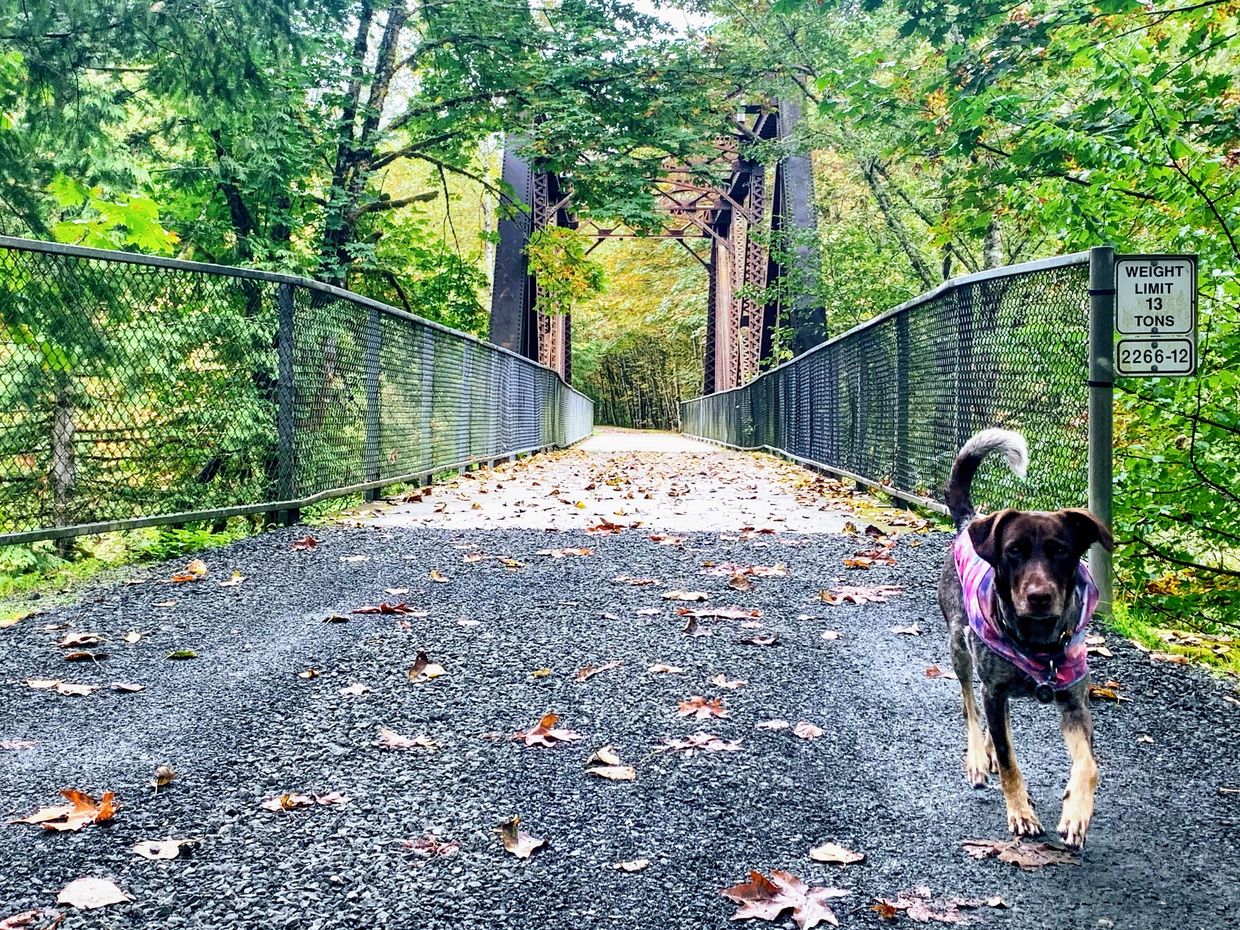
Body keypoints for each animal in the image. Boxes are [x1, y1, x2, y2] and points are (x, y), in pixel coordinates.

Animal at [937, 431, 1116, 853]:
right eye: (1013, 551)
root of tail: (969, 522)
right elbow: (1008, 759)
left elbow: (1089, 765)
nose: (1039, 596)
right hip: (959, 648)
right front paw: (1021, 814)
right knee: (971, 705)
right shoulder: (993, 687)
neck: (1039, 645)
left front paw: (1075, 815)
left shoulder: (1074, 701)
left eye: (1061, 551)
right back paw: (977, 758)